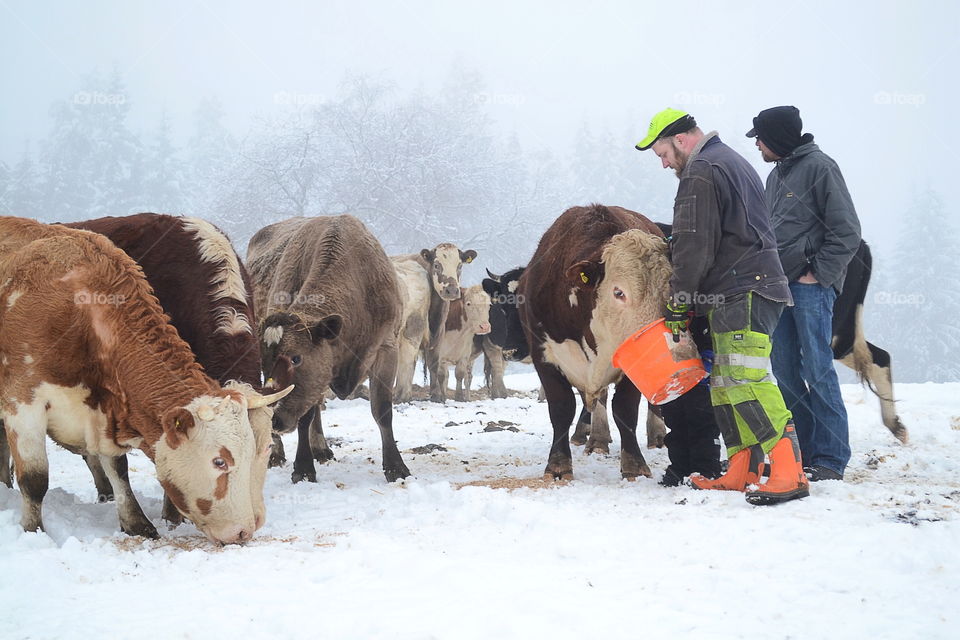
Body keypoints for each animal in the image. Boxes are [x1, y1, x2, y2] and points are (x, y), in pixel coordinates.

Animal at [0, 216, 291, 543]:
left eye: (265, 448)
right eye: (220, 461)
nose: (248, 527)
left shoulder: (109, 409)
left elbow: (117, 466)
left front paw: (136, 521)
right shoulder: (22, 401)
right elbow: (35, 478)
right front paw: (32, 530)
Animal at [246, 215, 410, 484]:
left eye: (296, 358)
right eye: (266, 363)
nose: (276, 419)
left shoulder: (387, 347)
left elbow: (383, 410)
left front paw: (396, 467)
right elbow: (305, 415)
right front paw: (303, 467)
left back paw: (320, 448)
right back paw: (277, 453)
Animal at [392, 243, 477, 403]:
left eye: (460, 265)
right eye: (437, 265)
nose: (452, 290)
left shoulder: (439, 333)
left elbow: (434, 363)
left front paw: (436, 395)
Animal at [517, 204, 672, 480]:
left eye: (669, 289)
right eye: (618, 292)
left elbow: (625, 410)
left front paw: (634, 464)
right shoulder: (543, 356)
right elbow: (561, 407)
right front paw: (558, 464)